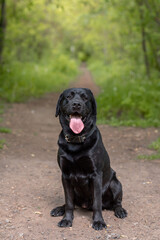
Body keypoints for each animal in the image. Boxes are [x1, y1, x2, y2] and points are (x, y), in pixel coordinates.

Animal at [50, 87, 127, 230]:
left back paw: (120, 211)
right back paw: (59, 209)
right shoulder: (65, 175)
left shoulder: (95, 175)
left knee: (116, 202)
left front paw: (98, 221)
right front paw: (66, 219)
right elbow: (69, 202)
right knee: (71, 202)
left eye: (85, 98)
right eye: (68, 97)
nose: (76, 104)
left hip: (116, 183)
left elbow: (97, 203)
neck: (76, 140)